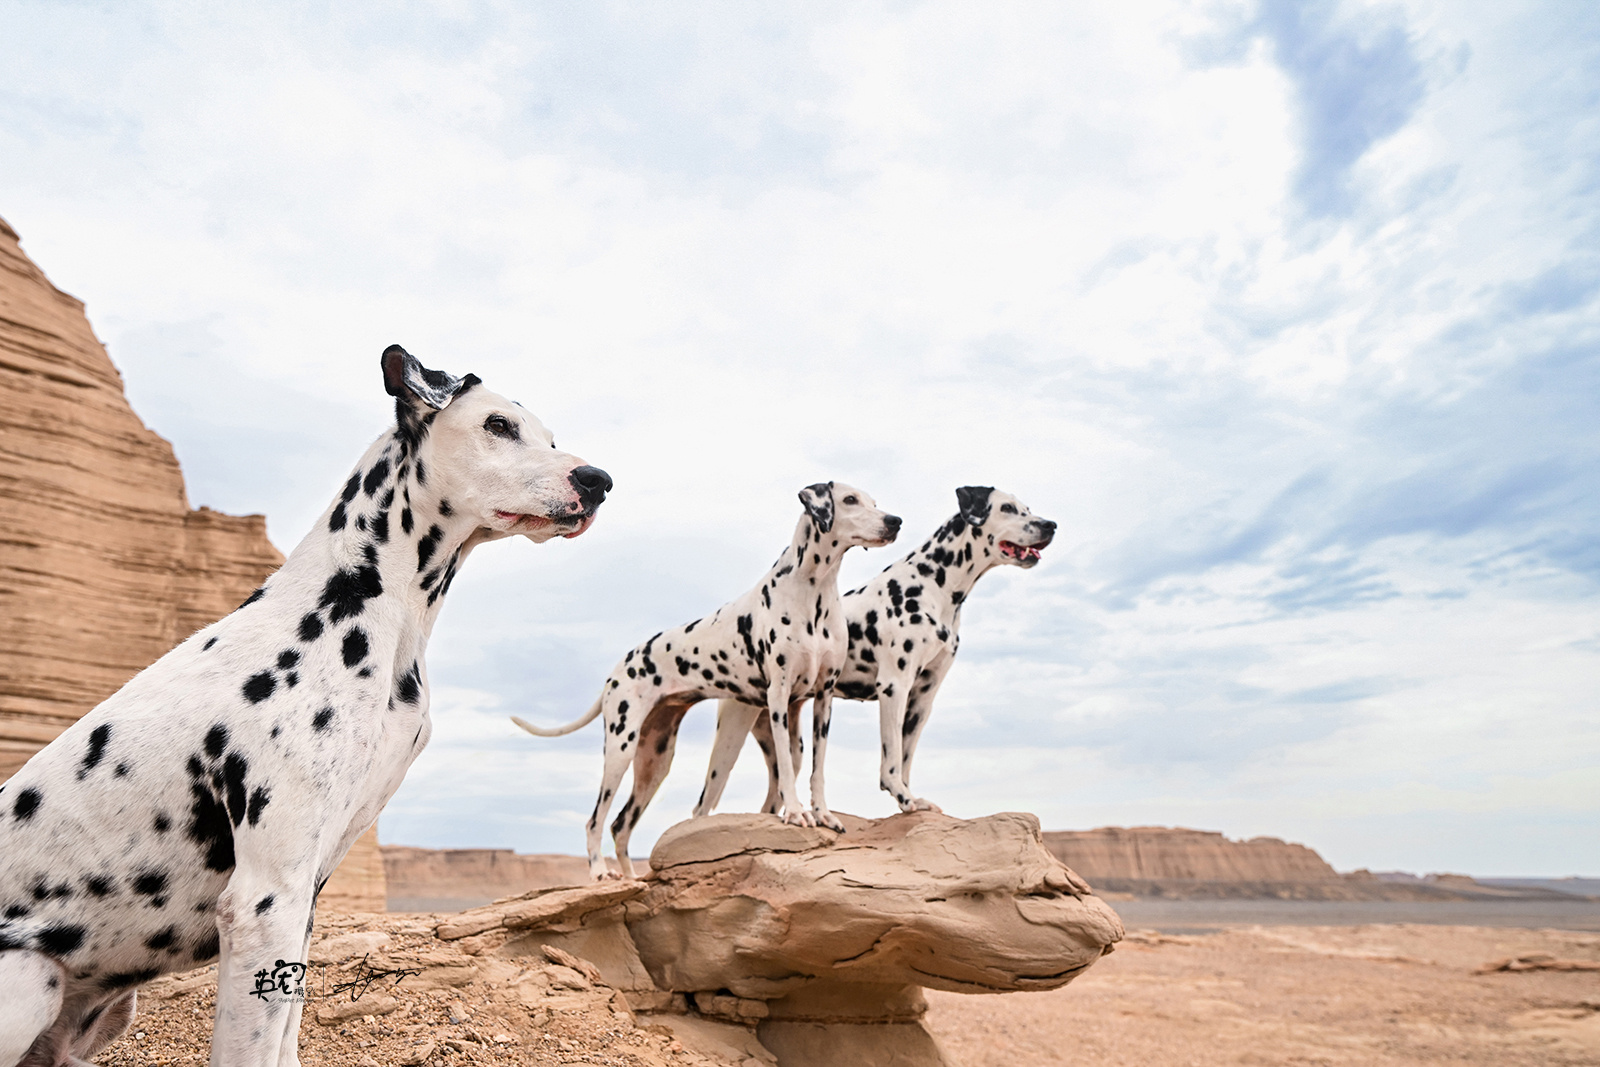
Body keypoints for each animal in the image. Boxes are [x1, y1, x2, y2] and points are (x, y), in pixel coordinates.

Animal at [0, 348, 608, 1067]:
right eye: (497, 425)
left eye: (548, 437)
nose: (598, 480)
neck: (364, 605)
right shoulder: (265, 900)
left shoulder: (305, 892)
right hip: (28, 975)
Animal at [508, 483, 902, 876]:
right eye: (850, 500)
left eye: (876, 502)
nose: (895, 521)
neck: (813, 591)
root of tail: (617, 670)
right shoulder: (778, 698)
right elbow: (788, 772)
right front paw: (795, 812)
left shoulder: (823, 698)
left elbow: (817, 770)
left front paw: (822, 814)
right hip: (621, 749)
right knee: (596, 820)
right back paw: (600, 872)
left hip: (655, 761)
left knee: (621, 825)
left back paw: (632, 878)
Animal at [697, 489, 1049, 825]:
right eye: (1007, 508)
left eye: (1028, 509)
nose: (1050, 525)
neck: (934, 587)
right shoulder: (894, 686)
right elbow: (891, 762)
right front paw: (903, 798)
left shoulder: (922, 697)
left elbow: (905, 759)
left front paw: (911, 800)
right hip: (728, 745)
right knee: (700, 808)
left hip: (781, 745)